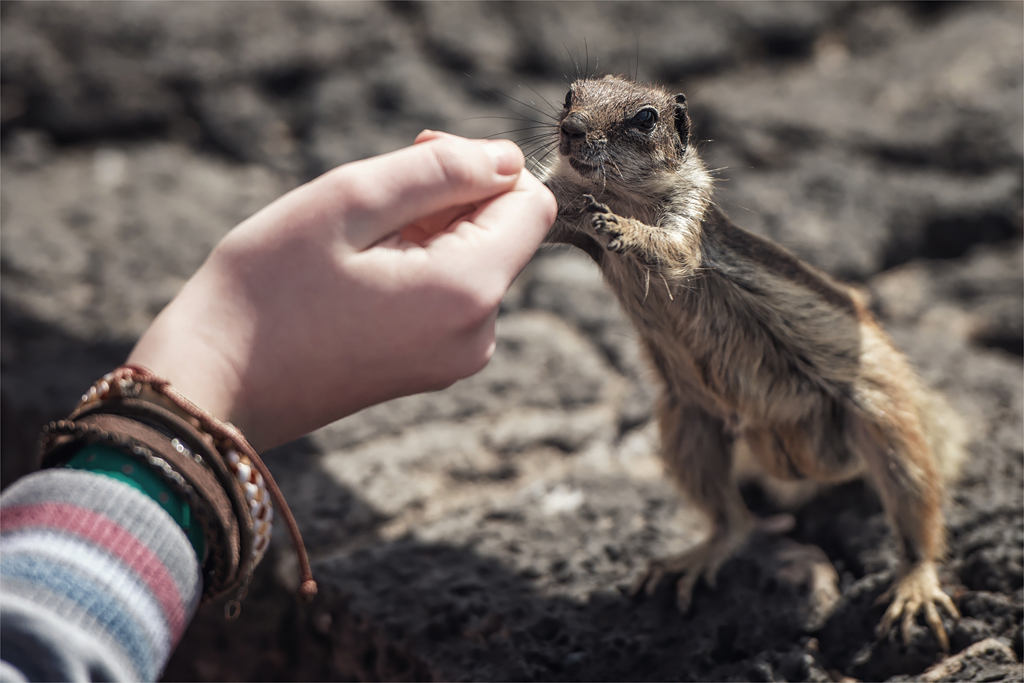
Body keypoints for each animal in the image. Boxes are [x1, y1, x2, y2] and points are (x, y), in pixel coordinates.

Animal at [536, 76, 966, 651]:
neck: (619, 191)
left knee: (914, 502)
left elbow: (672, 250)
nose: (572, 128)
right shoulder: (561, 199)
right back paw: (695, 558)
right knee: (730, 521)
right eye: (570, 94)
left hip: (883, 415)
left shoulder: (691, 210)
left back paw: (915, 587)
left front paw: (621, 229)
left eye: (646, 117)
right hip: (687, 423)